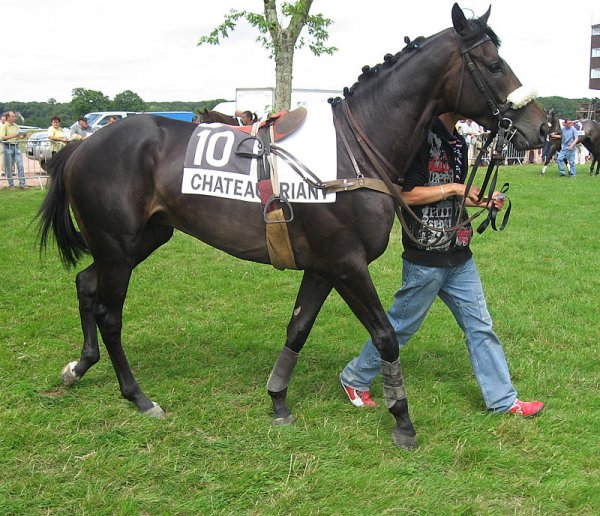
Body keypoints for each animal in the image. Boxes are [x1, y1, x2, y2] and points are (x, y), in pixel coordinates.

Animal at [37, 3, 548, 448]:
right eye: (494, 63)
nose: (542, 128)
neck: (353, 151)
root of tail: (80, 147)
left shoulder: (323, 266)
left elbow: (297, 328)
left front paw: (278, 400)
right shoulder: (347, 265)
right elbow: (385, 336)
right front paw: (402, 421)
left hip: (139, 240)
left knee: (85, 284)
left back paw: (79, 366)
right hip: (118, 247)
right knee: (110, 315)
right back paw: (139, 397)